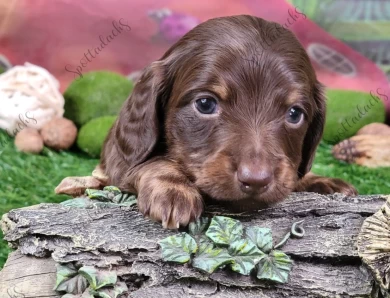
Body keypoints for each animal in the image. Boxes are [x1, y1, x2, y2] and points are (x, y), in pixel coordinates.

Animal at [100, 14, 356, 228]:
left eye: (294, 114)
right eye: (205, 104)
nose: (256, 181)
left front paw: (321, 181)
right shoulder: (118, 160)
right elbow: (150, 163)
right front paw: (173, 189)